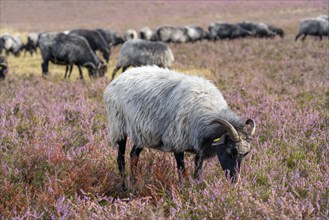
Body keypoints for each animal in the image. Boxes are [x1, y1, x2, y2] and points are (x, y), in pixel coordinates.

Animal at [104, 65, 256, 189]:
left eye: (245, 154)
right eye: (229, 151)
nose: (235, 180)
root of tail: (118, 78)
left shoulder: (200, 147)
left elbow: (197, 172)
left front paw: (196, 189)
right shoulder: (177, 143)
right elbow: (182, 171)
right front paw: (183, 190)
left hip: (142, 133)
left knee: (134, 155)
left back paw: (135, 183)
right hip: (119, 127)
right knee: (121, 159)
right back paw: (124, 187)